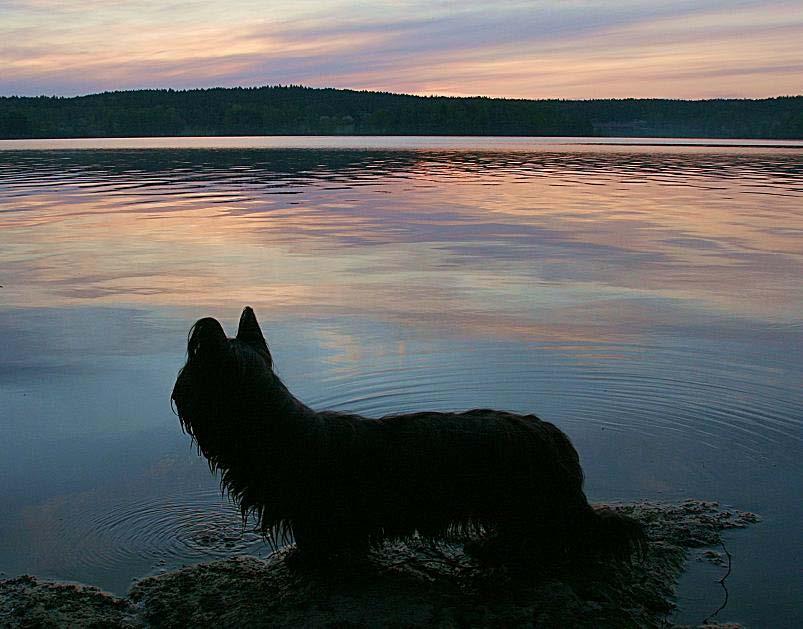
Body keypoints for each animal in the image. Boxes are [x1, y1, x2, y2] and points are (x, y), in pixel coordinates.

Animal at [173, 306, 644, 560]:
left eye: (189, 376)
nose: (175, 395)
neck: (275, 429)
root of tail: (554, 439)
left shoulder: (322, 515)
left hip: (528, 504)